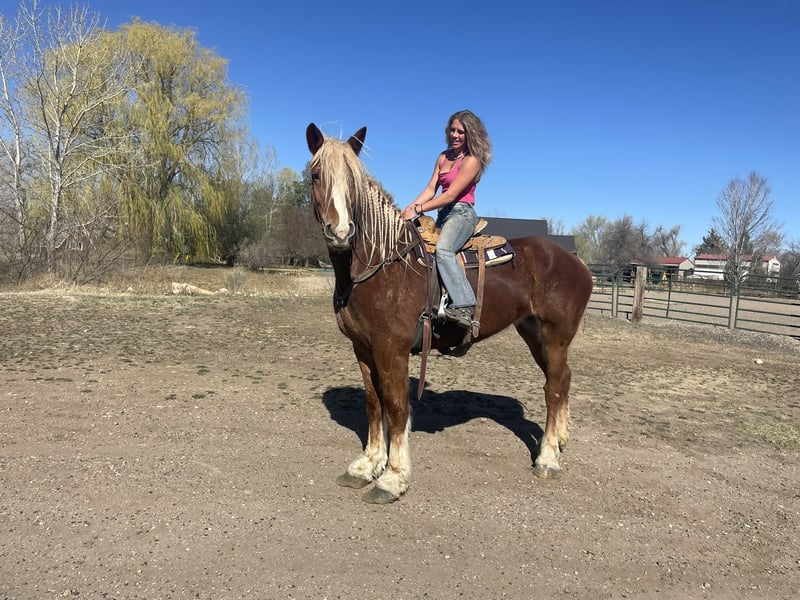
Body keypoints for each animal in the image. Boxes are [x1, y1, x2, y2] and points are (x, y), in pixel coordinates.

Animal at [306, 123, 593, 504]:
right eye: (316, 175)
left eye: (353, 180)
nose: (340, 232)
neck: (379, 266)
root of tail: (575, 261)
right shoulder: (363, 348)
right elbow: (373, 402)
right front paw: (366, 466)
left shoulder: (392, 349)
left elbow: (396, 406)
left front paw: (393, 478)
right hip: (534, 334)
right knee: (562, 379)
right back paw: (560, 441)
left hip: (555, 334)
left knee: (553, 389)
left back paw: (547, 458)